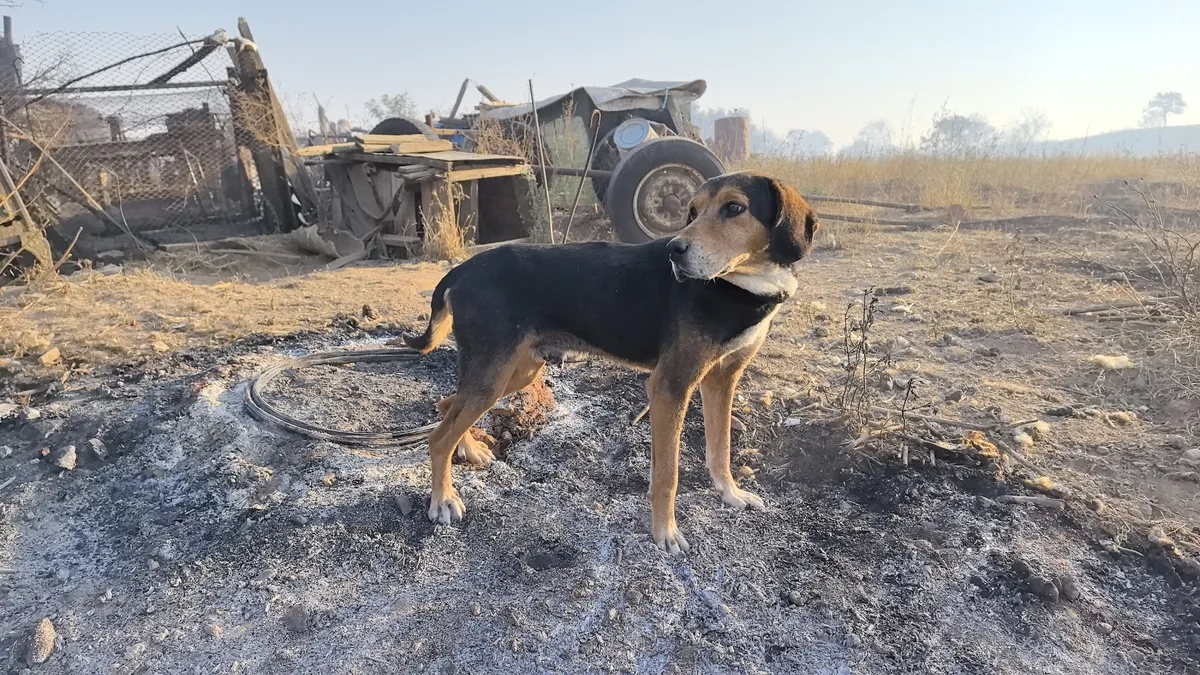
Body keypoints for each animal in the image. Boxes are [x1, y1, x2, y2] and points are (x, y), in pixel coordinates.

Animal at [403, 169, 816, 552]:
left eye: (734, 208)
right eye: (693, 211)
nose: (675, 250)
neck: (740, 286)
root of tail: (462, 269)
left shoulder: (723, 378)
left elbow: (721, 449)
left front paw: (730, 494)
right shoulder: (670, 385)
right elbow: (667, 474)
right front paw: (665, 533)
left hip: (514, 372)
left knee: (448, 404)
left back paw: (469, 450)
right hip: (494, 374)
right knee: (438, 437)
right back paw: (443, 498)